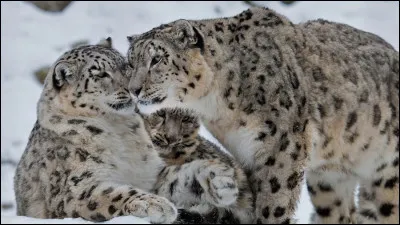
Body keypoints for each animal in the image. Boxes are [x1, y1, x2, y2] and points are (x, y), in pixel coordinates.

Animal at [13, 38, 178, 223]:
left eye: (125, 66)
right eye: (100, 74)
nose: (132, 89)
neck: (120, 128)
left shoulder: (149, 171)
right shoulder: (76, 189)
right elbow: (116, 195)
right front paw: (156, 204)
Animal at [126, 6, 398, 223]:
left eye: (156, 59)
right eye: (131, 62)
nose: (133, 89)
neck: (218, 106)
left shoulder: (282, 148)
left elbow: (274, 203)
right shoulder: (246, 154)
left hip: (388, 172)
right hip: (328, 181)